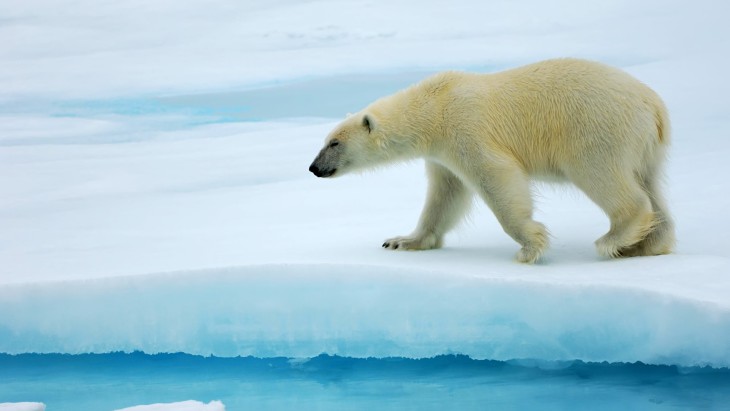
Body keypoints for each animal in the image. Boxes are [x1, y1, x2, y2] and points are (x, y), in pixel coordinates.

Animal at [306, 58, 672, 264]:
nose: (313, 168)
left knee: (604, 177)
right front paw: (402, 241)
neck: (433, 106)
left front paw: (530, 246)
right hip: (645, 147)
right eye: (325, 141)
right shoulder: (441, 154)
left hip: (596, 129)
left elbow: (496, 177)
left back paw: (614, 239)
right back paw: (647, 244)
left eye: (334, 142)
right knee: (651, 185)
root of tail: (654, 105)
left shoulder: (465, 128)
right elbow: (445, 195)